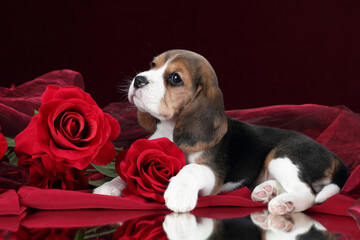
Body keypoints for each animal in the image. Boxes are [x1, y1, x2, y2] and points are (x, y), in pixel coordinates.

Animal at [93, 49, 348, 215]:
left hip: (283, 157)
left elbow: (190, 169)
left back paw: (285, 203)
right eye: (152, 65)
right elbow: (123, 173)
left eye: (175, 78)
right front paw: (108, 187)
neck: (171, 128)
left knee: (308, 194)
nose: (138, 80)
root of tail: (335, 157)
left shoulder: (212, 177)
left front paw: (179, 193)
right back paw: (265, 191)